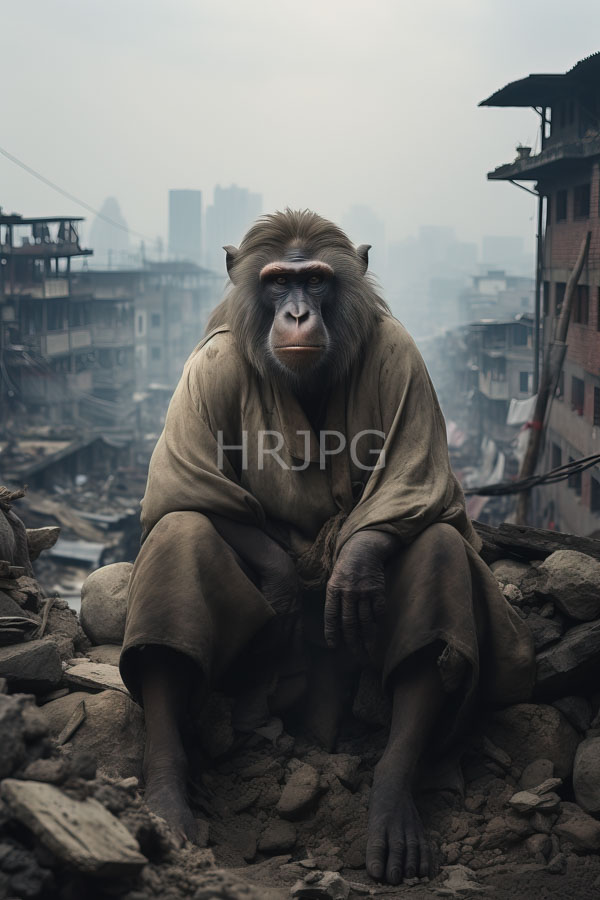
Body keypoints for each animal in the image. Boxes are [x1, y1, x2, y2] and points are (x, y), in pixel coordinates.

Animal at [120, 210, 535, 885]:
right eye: (277, 281)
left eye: (315, 280)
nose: (295, 313)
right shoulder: (209, 365)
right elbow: (188, 486)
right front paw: (284, 584)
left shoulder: (402, 353)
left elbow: (415, 485)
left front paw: (355, 570)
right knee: (181, 532)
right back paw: (167, 800)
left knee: (438, 549)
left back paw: (392, 806)